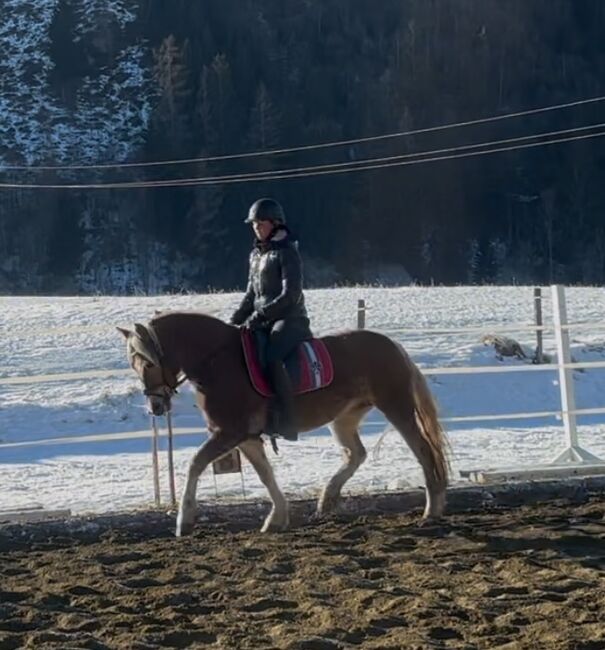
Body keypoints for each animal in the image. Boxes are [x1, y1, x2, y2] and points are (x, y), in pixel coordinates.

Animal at [118, 312, 448, 536]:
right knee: (356, 454)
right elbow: (265, 475)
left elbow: (195, 464)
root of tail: (393, 345)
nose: (155, 407)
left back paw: (432, 509)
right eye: (133, 364)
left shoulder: (229, 433)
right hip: (344, 417)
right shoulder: (246, 437)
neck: (217, 362)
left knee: (423, 450)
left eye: (149, 362)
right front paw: (277, 517)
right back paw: (327, 499)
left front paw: (184, 521)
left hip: (396, 407)